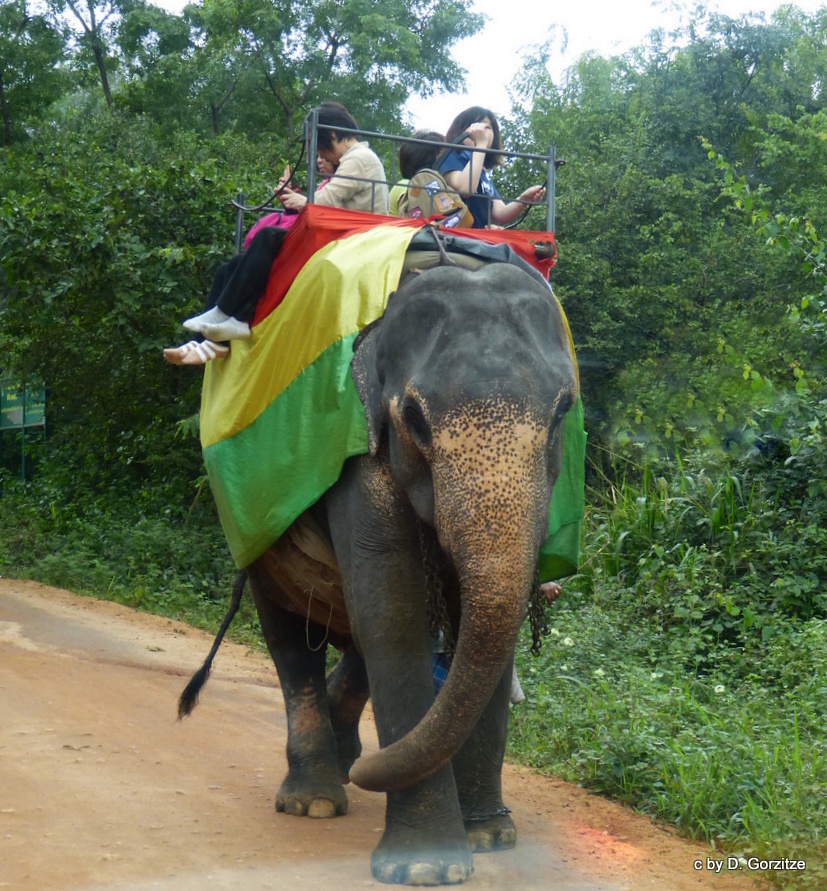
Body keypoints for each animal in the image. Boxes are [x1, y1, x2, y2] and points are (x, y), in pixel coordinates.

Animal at [180, 258, 576, 884]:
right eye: (412, 418)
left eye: (563, 410)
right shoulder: (359, 457)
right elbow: (394, 615)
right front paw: (427, 867)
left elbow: (477, 622)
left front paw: (490, 837)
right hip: (255, 538)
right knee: (291, 642)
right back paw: (316, 798)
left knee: (355, 645)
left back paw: (349, 764)